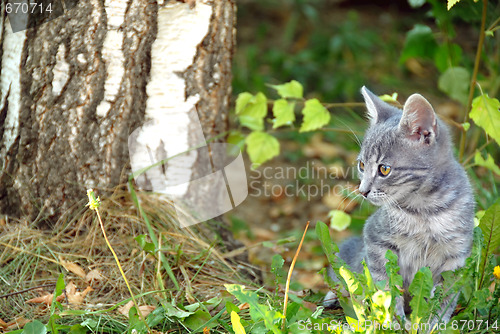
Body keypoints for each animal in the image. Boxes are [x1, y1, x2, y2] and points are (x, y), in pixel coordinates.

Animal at [326, 87, 474, 326]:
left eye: (384, 169)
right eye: (362, 165)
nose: (362, 190)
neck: (425, 209)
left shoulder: (456, 254)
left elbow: (445, 295)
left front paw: (433, 324)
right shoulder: (376, 239)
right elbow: (386, 286)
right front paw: (393, 322)